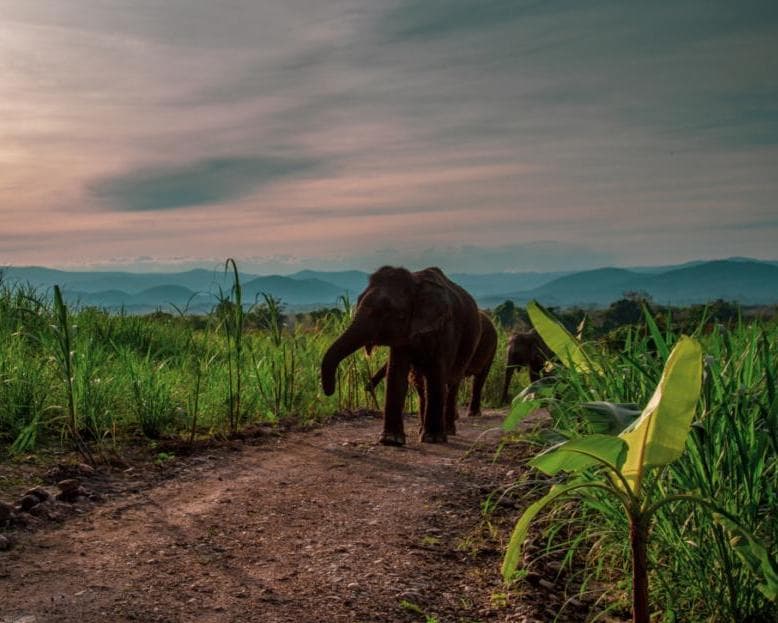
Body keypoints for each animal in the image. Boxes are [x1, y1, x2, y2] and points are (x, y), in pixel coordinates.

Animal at [321, 266, 482, 445]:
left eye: (390, 312)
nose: (329, 391)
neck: (416, 282)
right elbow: (396, 375)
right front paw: (391, 440)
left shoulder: (446, 329)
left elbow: (436, 375)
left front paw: (433, 439)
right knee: (421, 384)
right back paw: (422, 430)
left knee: (451, 383)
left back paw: (447, 431)